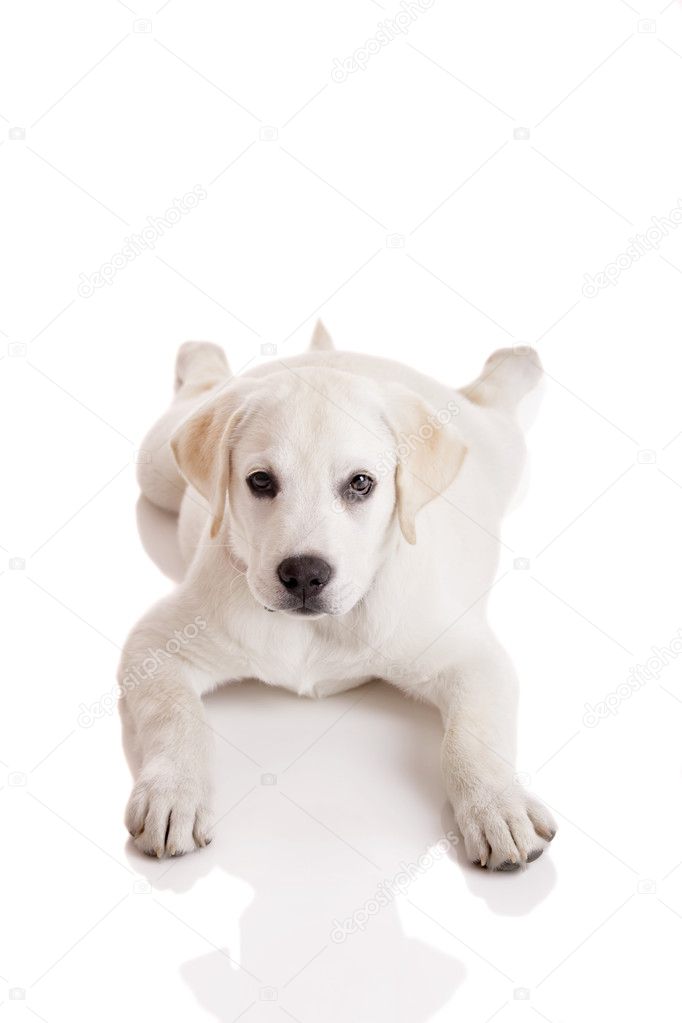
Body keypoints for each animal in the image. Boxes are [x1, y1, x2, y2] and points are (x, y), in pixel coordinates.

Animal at [121, 325, 556, 871]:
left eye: (361, 483)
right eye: (260, 481)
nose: (305, 575)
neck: (317, 630)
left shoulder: (471, 657)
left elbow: (472, 737)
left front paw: (498, 804)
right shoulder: (155, 644)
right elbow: (176, 717)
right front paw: (172, 793)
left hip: (503, 448)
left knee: (494, 397)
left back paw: (518, 360)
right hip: (157, 467)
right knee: (198, 392)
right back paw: (201, 353)